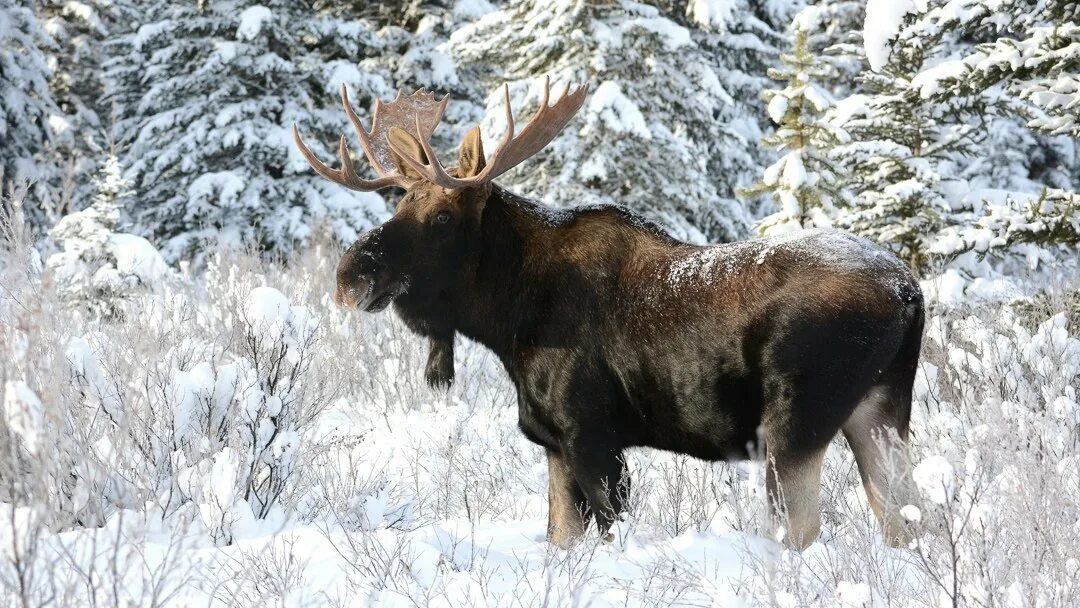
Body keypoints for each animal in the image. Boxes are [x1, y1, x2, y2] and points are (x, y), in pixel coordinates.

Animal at [293, 78, 920, 548]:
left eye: (444, 216)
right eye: (399, 203)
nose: (350, 276)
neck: (509, 321)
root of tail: (909, 292)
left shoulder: (591, 435)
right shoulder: (552, 442)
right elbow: (559, 538)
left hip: (795, 423)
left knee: (804, 529)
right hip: (880, 410)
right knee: (905, 520)